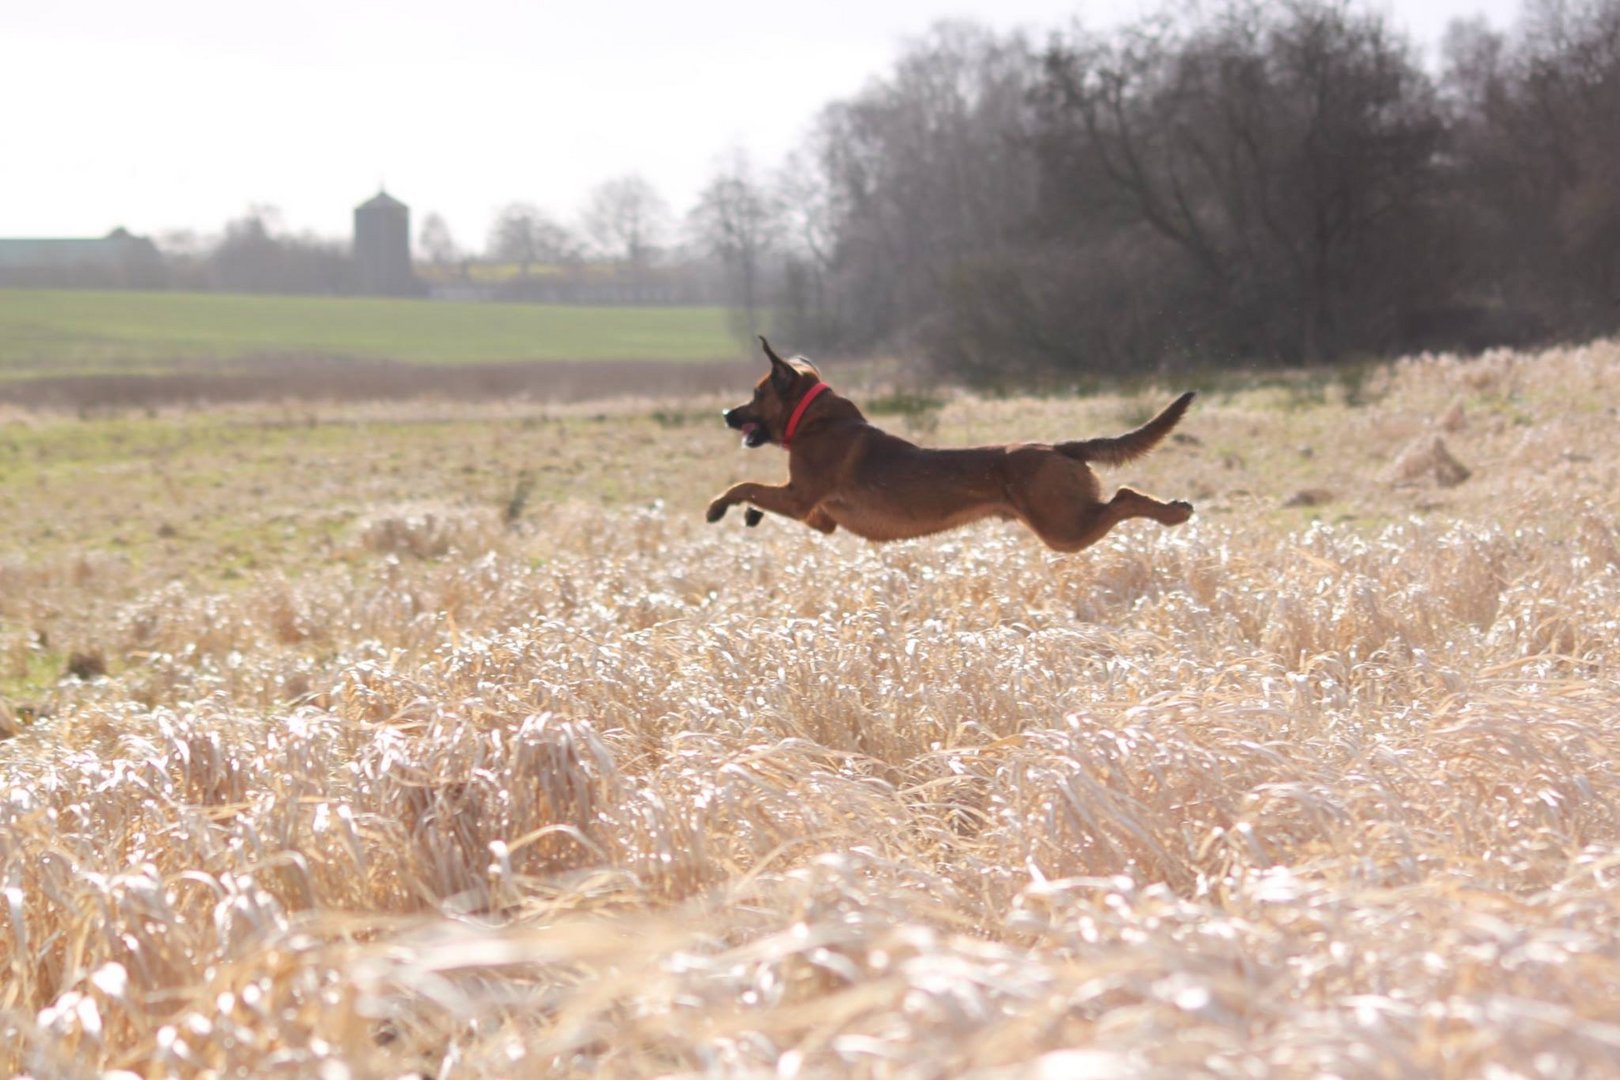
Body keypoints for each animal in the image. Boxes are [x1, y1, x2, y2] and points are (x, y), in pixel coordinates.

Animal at [703, 338, 1198, 553]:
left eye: (756, 394)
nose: (725, 415)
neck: (813, 419)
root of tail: (1059, 448)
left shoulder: (800, 496)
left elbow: (744, 484)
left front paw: (718, 507)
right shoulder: (819, 516)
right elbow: (757, 495)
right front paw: (749, 515)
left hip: (1063, 529)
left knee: (1124, 498)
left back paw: (1174, 513)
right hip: (1065, 520)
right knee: (1119, 499)